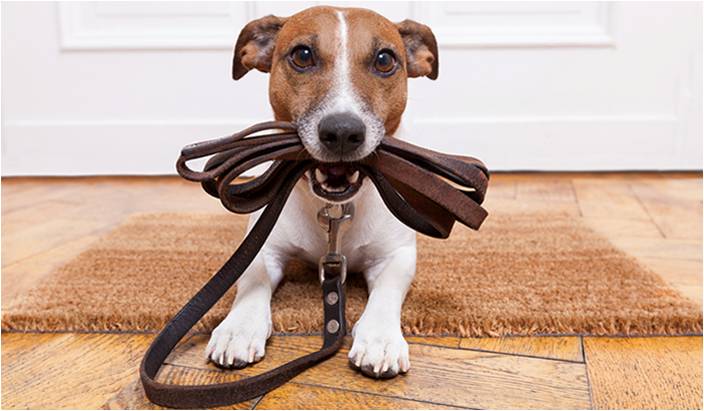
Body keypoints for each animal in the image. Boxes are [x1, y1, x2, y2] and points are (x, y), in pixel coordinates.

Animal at [204, 5, 438, 380]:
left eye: (384, 59)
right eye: (302, 55)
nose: (342, 132)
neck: (334, 208)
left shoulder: (396, 256)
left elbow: (387, 292)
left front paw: (380, 338)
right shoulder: (263, 247)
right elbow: (252, 281)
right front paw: (238, 327)